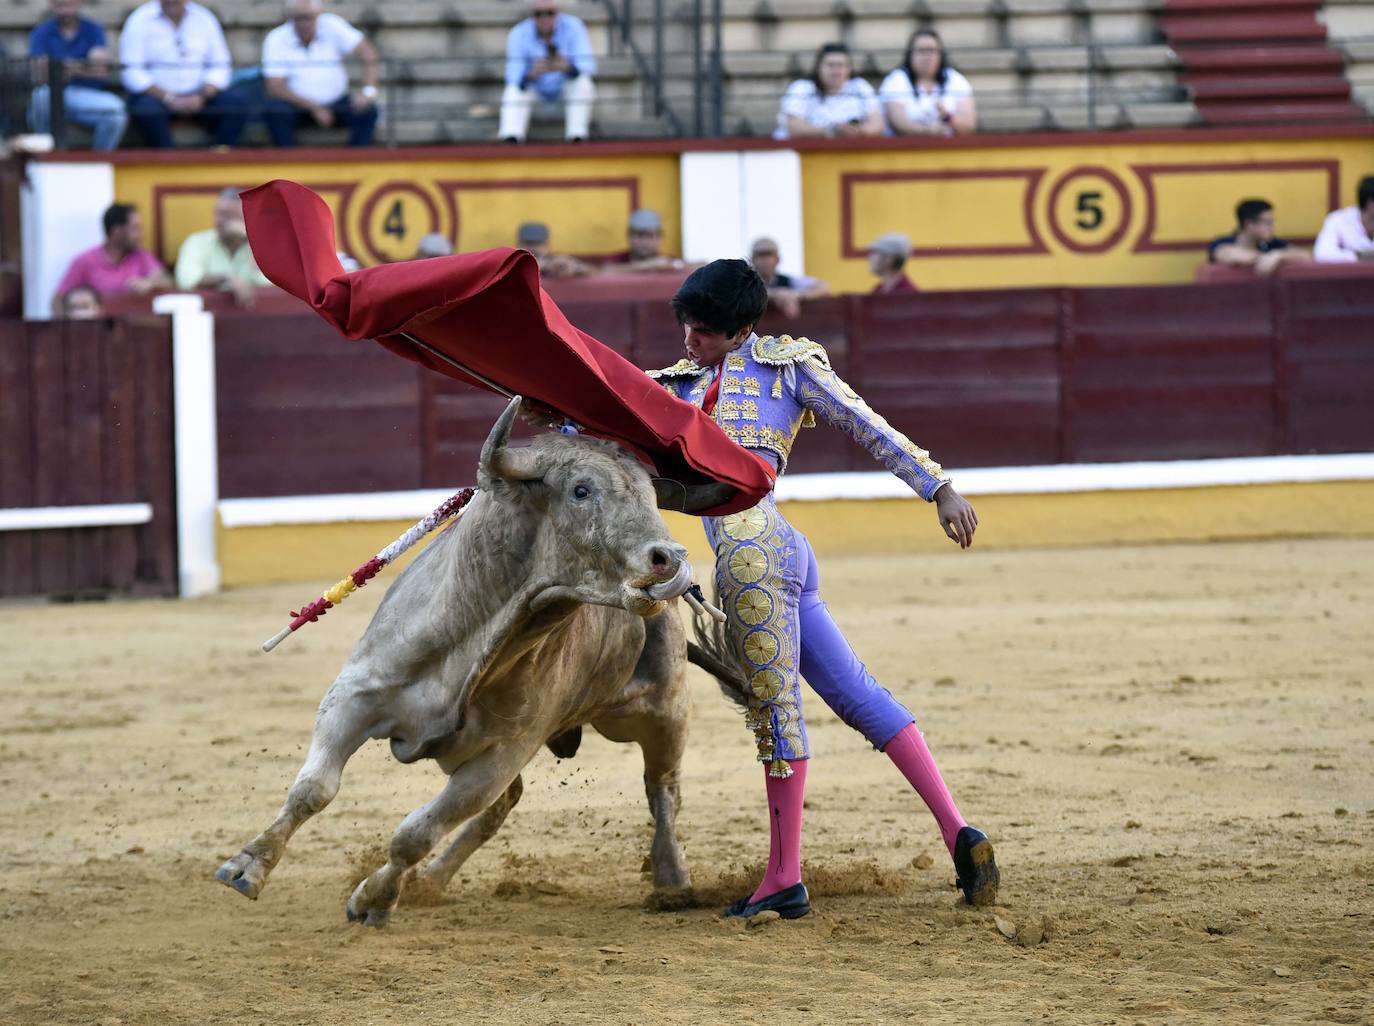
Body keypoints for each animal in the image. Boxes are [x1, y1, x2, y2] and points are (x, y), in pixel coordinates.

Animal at [214, 398, 725, 928]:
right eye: (581, 490)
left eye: (649, 495)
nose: (668, 557)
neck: (471, 646)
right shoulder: (354, 697)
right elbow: (313, 788)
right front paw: (246, 867)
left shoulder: (500, 755)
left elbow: (416, 832)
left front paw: (374, 899)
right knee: (506, 805)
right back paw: (432, 882)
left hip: (662, 712)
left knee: (662, 788)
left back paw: (672, 879)